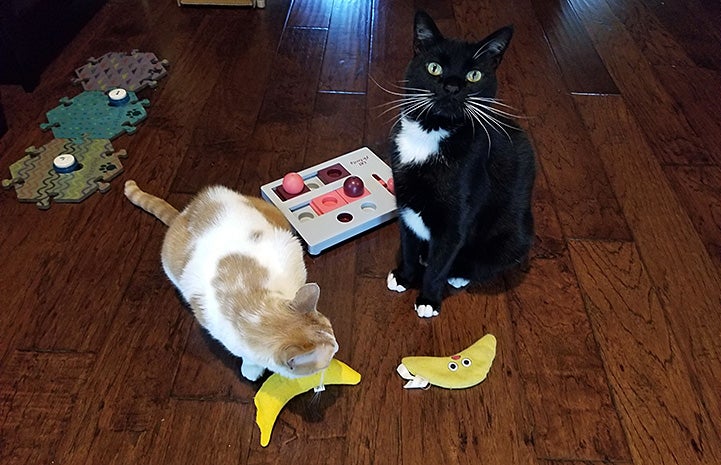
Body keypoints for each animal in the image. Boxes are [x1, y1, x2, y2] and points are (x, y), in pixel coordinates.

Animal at [124, 179, 338, 378]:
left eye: (332, 332)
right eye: (330, 356)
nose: (337, 346)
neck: (257, 312)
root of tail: (184, 213)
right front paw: (251, 370)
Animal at [388, 10, 536, 318]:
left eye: (474, 75)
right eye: (433, 68)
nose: (452, 87)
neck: (430, 134)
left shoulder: (457, 218)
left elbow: (440, 263)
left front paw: (428, 299)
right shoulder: (404, 198)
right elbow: (407, 242)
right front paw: (405, 276)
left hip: (515, 237)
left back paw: (459, 275)